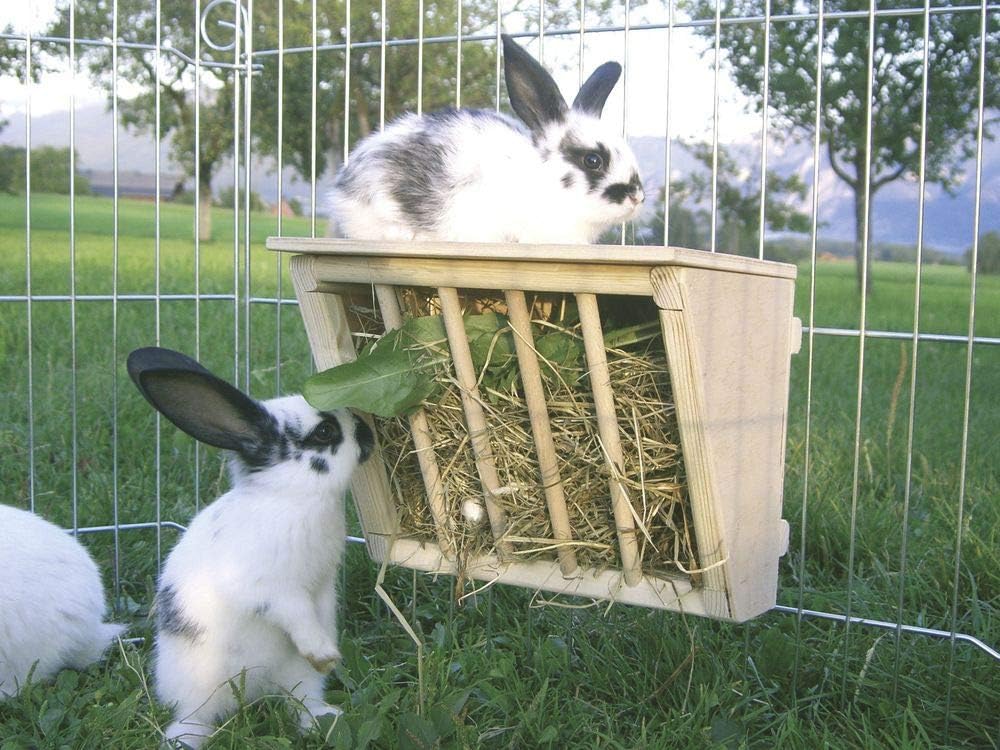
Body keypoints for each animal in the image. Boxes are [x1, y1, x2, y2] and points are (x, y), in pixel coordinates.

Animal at [126, 347, 374, 749]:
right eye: (325, 432)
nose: (368, 433)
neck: (291, 496)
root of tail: (256, 690)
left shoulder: (322, 586)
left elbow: (319, 614)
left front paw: (329, 652)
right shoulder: (269, 589)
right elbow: (297, 614)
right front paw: (324, 652)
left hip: (296, 676)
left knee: (300, 700)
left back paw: (325, 720)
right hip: (198, 689)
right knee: (195, 717)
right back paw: (184, 740)